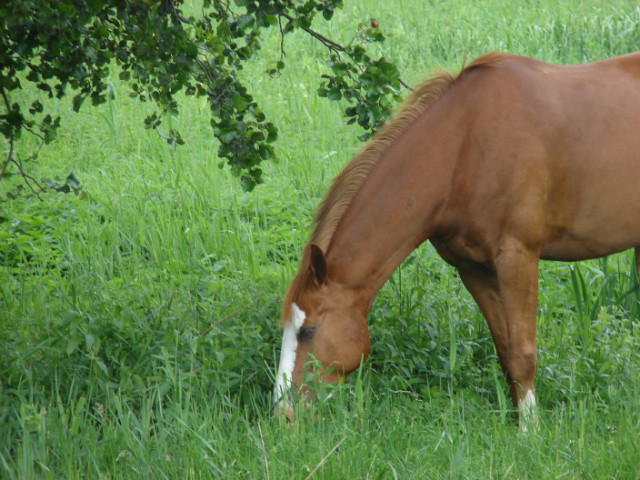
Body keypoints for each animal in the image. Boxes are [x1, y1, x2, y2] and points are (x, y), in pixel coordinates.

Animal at [272, 53, 640, 428]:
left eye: (307, 331)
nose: (283, 414)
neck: (464, 149)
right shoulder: (474, 269)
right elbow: (506, 351)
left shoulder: (518, 257)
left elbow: (523, 353)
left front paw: (530, 432)